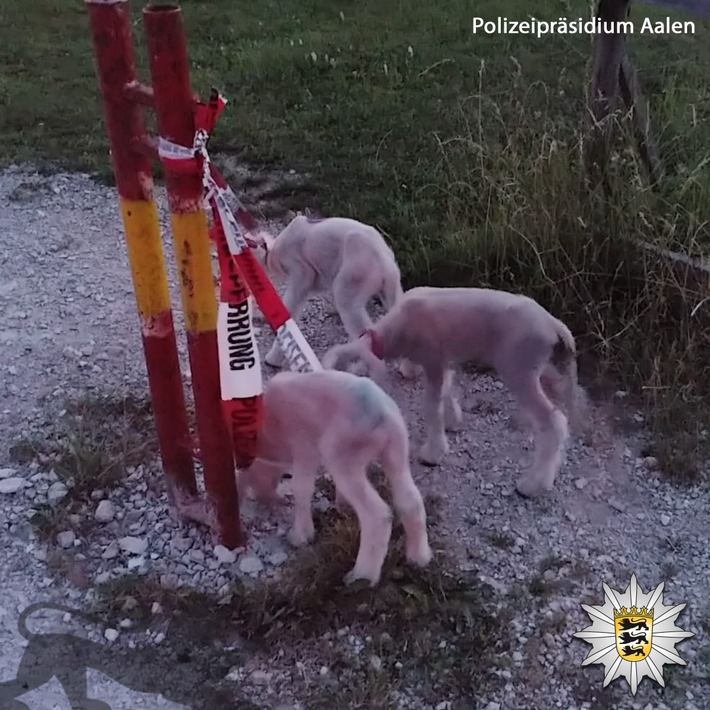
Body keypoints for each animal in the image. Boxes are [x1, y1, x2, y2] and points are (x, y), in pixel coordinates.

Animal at [238, 370, 434, 588]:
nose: (267, 501)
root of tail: (382, 416)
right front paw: (343, 506)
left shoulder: (304, 446)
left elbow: (301, 488)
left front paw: (300, 536)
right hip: (396, 449)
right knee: (411, 501)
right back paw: (419, 558)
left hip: (340, 452)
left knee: (377, 516)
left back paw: (362, 576)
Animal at [252, 214, 414, 376]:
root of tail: (384, 263)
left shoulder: (300, 269)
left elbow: (293, 299)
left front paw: (272, 360)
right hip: (392, 286)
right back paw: (407, 370)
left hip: (354, 276)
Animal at [322, 286, 584, 498]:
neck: (393, 331)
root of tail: (554, 325)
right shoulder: (443, 360)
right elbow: (445, 392)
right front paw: (452, 420)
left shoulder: (433, 360)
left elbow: (431, 406)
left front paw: (433, 452)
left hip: (520, 371)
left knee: (552, 424)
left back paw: (533, 485)